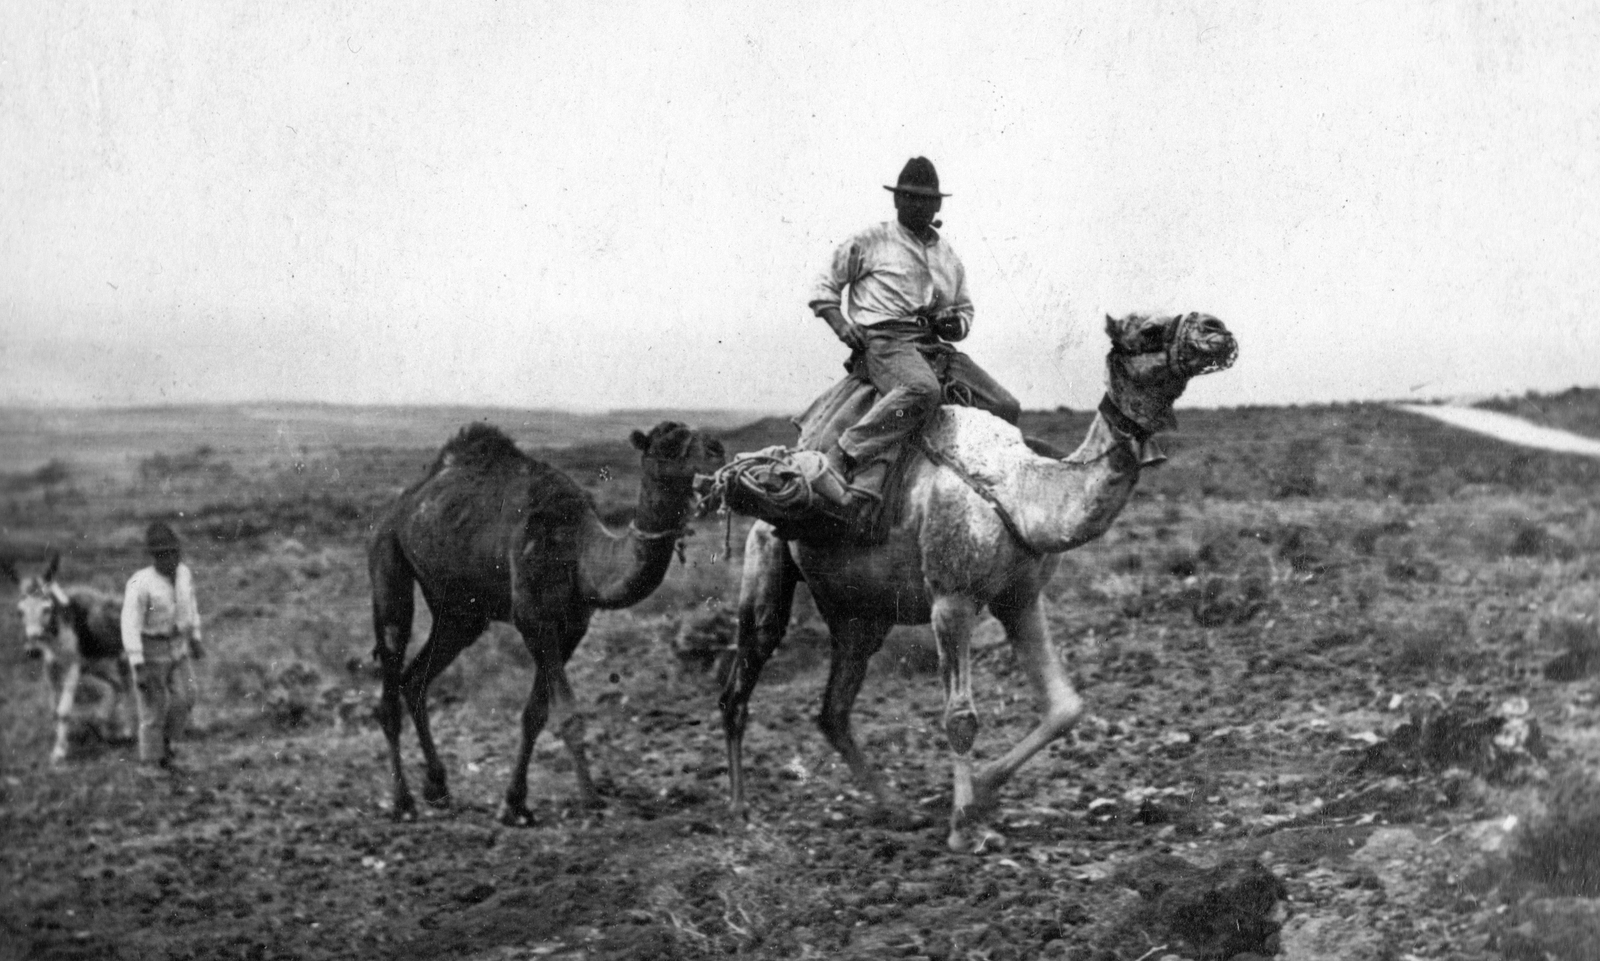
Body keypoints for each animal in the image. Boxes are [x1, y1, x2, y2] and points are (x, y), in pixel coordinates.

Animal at [368, 421, 725, 824]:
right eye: (667, 446)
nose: (716, 449)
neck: (579, 551)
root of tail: (399, 507)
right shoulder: (533, 620)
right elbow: (567, 714)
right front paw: (591, 801)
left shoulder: (572, 627)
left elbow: (535, 713)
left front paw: (514, 805)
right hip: (388, 556)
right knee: (391, 674)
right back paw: (403, 803)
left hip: (461, 611)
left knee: (416, 679)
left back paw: (438, 788)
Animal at [719, 311, 1237, 851]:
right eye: (1149, 329)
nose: (1215, 328)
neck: (1022, 492)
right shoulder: (953, 597)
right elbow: (961, 717)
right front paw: (964, 823)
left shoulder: (1021, 598)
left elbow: (1065, 707)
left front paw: (985, 788)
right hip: (767, 558)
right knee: (741, 679)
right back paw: (739, 809)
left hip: (861, 616)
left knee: (833, 710)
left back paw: (898, 809)